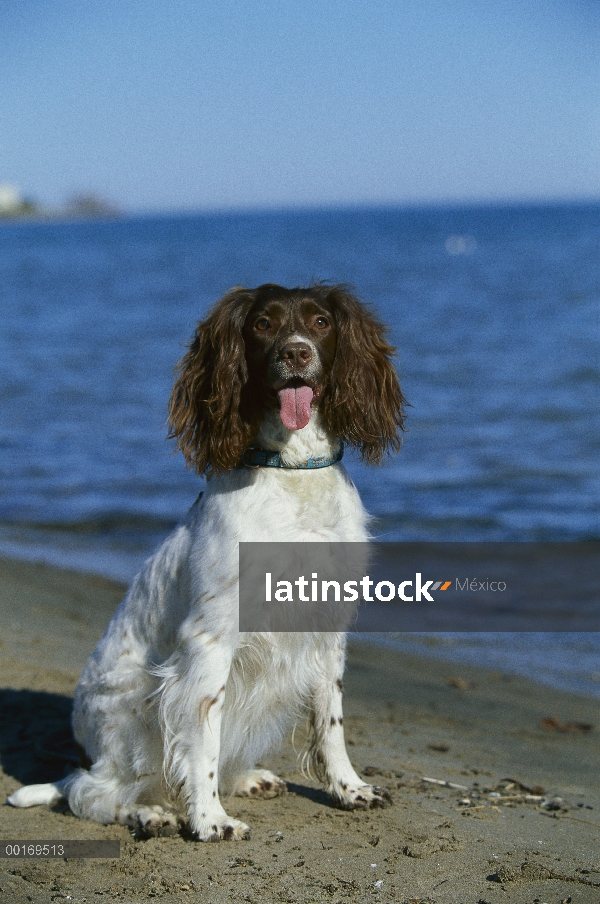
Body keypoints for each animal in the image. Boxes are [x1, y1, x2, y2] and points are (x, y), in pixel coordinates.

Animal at [8, 282, 404, 840]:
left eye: (322, 322)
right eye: (262, 324)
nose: (296, 353)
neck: (292, 473)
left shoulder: (327, 630)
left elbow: (331, 723)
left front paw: (350, 789)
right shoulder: (211, 639)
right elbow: (202, 738)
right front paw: (209, 819)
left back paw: (247, 780)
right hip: (135, 710)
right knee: (90, 793)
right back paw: (149, 813)